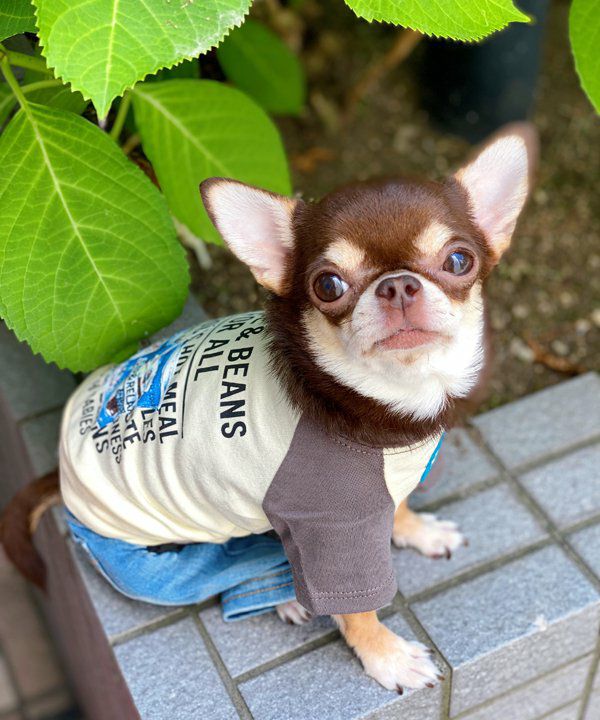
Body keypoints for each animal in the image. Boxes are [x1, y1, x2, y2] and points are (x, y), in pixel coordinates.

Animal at [0, 122, 536, 693]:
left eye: (459, 260)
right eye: (328, 285)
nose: (396, 284)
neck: (387, 403)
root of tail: (60, 473)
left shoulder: (380, 491)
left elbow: (400, 507)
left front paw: (419, 531)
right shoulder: (330, 533)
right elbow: (357, 610)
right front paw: (387, 657)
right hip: (157, 563)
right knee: (221, 571)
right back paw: (283, 599)